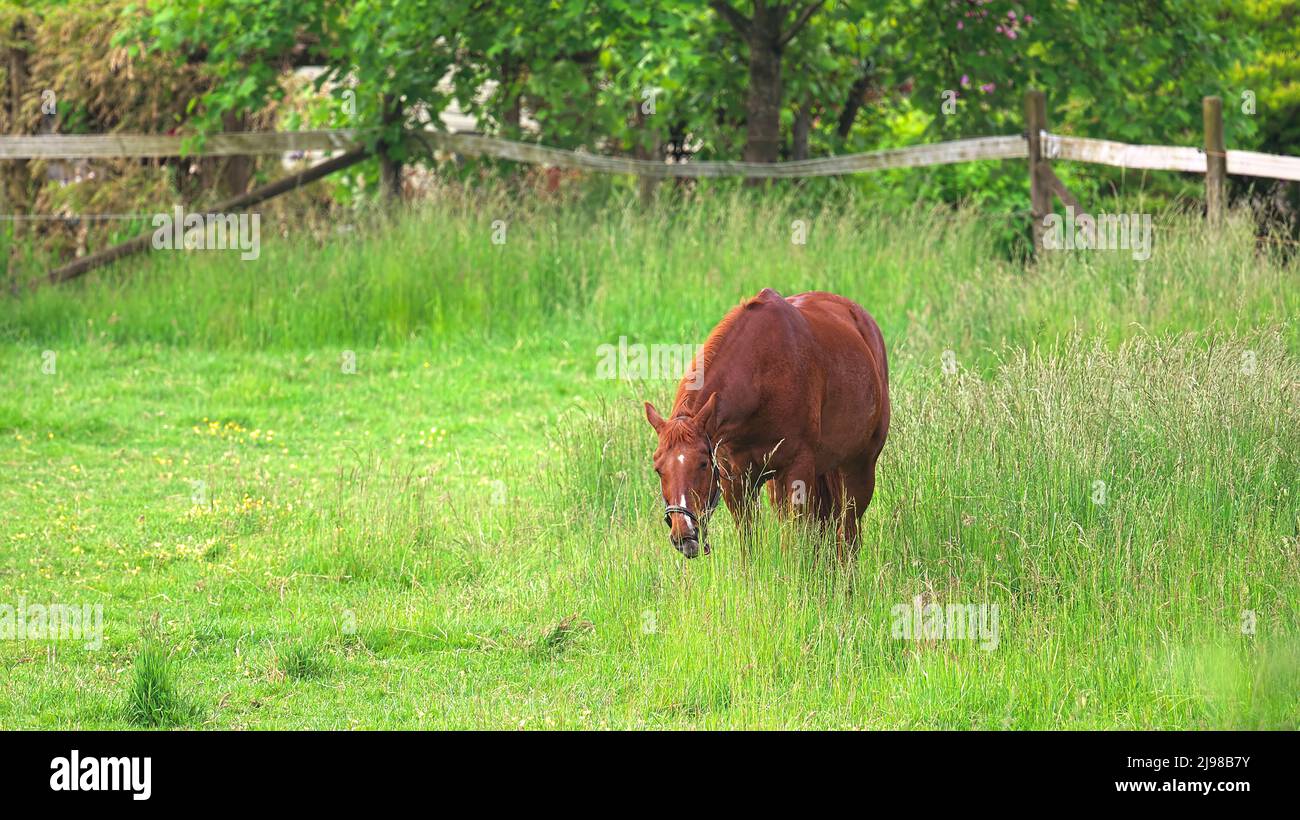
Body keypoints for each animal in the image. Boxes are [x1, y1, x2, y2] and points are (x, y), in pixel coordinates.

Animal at [644, 288, 890, 561]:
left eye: (702, 464)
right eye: (658, 469)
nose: (683, 535)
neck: (761, 376)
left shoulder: (797, 472)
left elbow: (795, 541)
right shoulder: (736, 482)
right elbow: (750, 543)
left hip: (858, 471)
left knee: (847, 534)